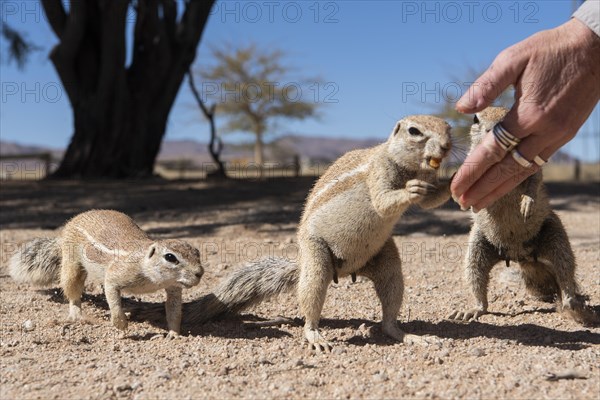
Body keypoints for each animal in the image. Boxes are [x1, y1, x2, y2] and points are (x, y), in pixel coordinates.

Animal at [9, 211, 205, 336]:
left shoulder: (173, 288)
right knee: (72, 291)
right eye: (170, 257)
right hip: (72, 266)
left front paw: (174, 333)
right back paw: (77, 315)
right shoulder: (117, 274)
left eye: (197, 253)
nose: (199, 273)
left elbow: (174, 311)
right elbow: (113, 297)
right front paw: (121, 324)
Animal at [137, 114, 454, 352]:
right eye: (414, 131)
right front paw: (411, 190)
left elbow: (429, 202)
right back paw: (315, 335)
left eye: (449, 127)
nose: (447, 146)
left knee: (388, 309)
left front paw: (453, 180)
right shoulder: (379, 171)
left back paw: (408, 335)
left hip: (386, 258)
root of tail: (348, 270)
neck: (407, 166)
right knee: (311, 301)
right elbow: (382, 201)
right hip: (316, 258)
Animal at [448, 106, 596, 324]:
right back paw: (474, 309)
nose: (491, 132)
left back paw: (573, 303)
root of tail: (522, 256)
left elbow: (535, 182)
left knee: (565, 270)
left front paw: (527, 202)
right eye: (475, 118)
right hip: (478, 245)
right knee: (477, 279)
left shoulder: (532, 169)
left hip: (555, 235)